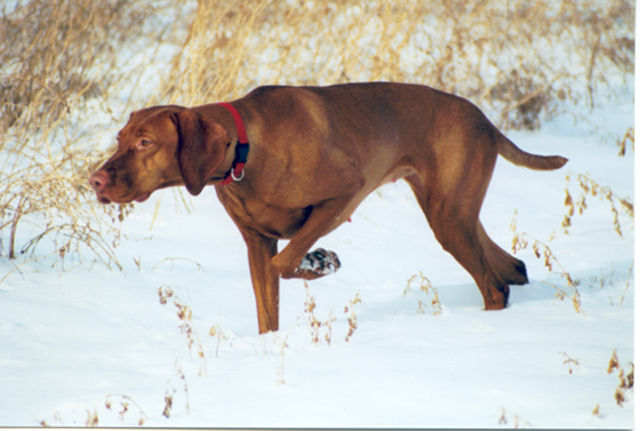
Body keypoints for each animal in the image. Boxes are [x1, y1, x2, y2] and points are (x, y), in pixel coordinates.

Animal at [89, 82, 564, 336]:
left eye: (146, 142)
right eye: (120, 138)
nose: (95, 181)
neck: (246, 150)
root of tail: (485, 121)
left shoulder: (344, 193)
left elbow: (286, 260)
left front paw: (321, 262)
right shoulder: (256, 242)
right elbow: (268, 306)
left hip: (449, 219)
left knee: (494, 286)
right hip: (456, 214)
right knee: (512, 269)